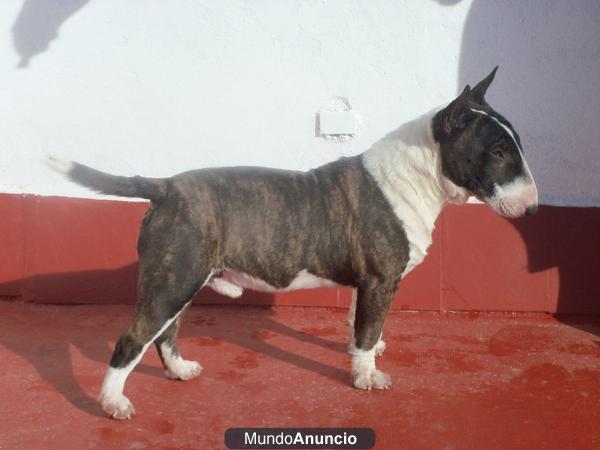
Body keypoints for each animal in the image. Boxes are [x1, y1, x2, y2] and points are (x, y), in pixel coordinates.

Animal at [50, 67, 540, 422]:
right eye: (498, 151)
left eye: (517, 142)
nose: (535, 207)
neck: (417, 175)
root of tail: (166, 187)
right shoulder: (381, 278)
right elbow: (366, 331)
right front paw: (368, 377)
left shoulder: (368, 283)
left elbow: (360, 324)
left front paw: (365, 353)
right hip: (171, 282)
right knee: (131, 339)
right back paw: (112, 403)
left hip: (182, 280)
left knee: (165, 333)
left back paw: (180, 371)